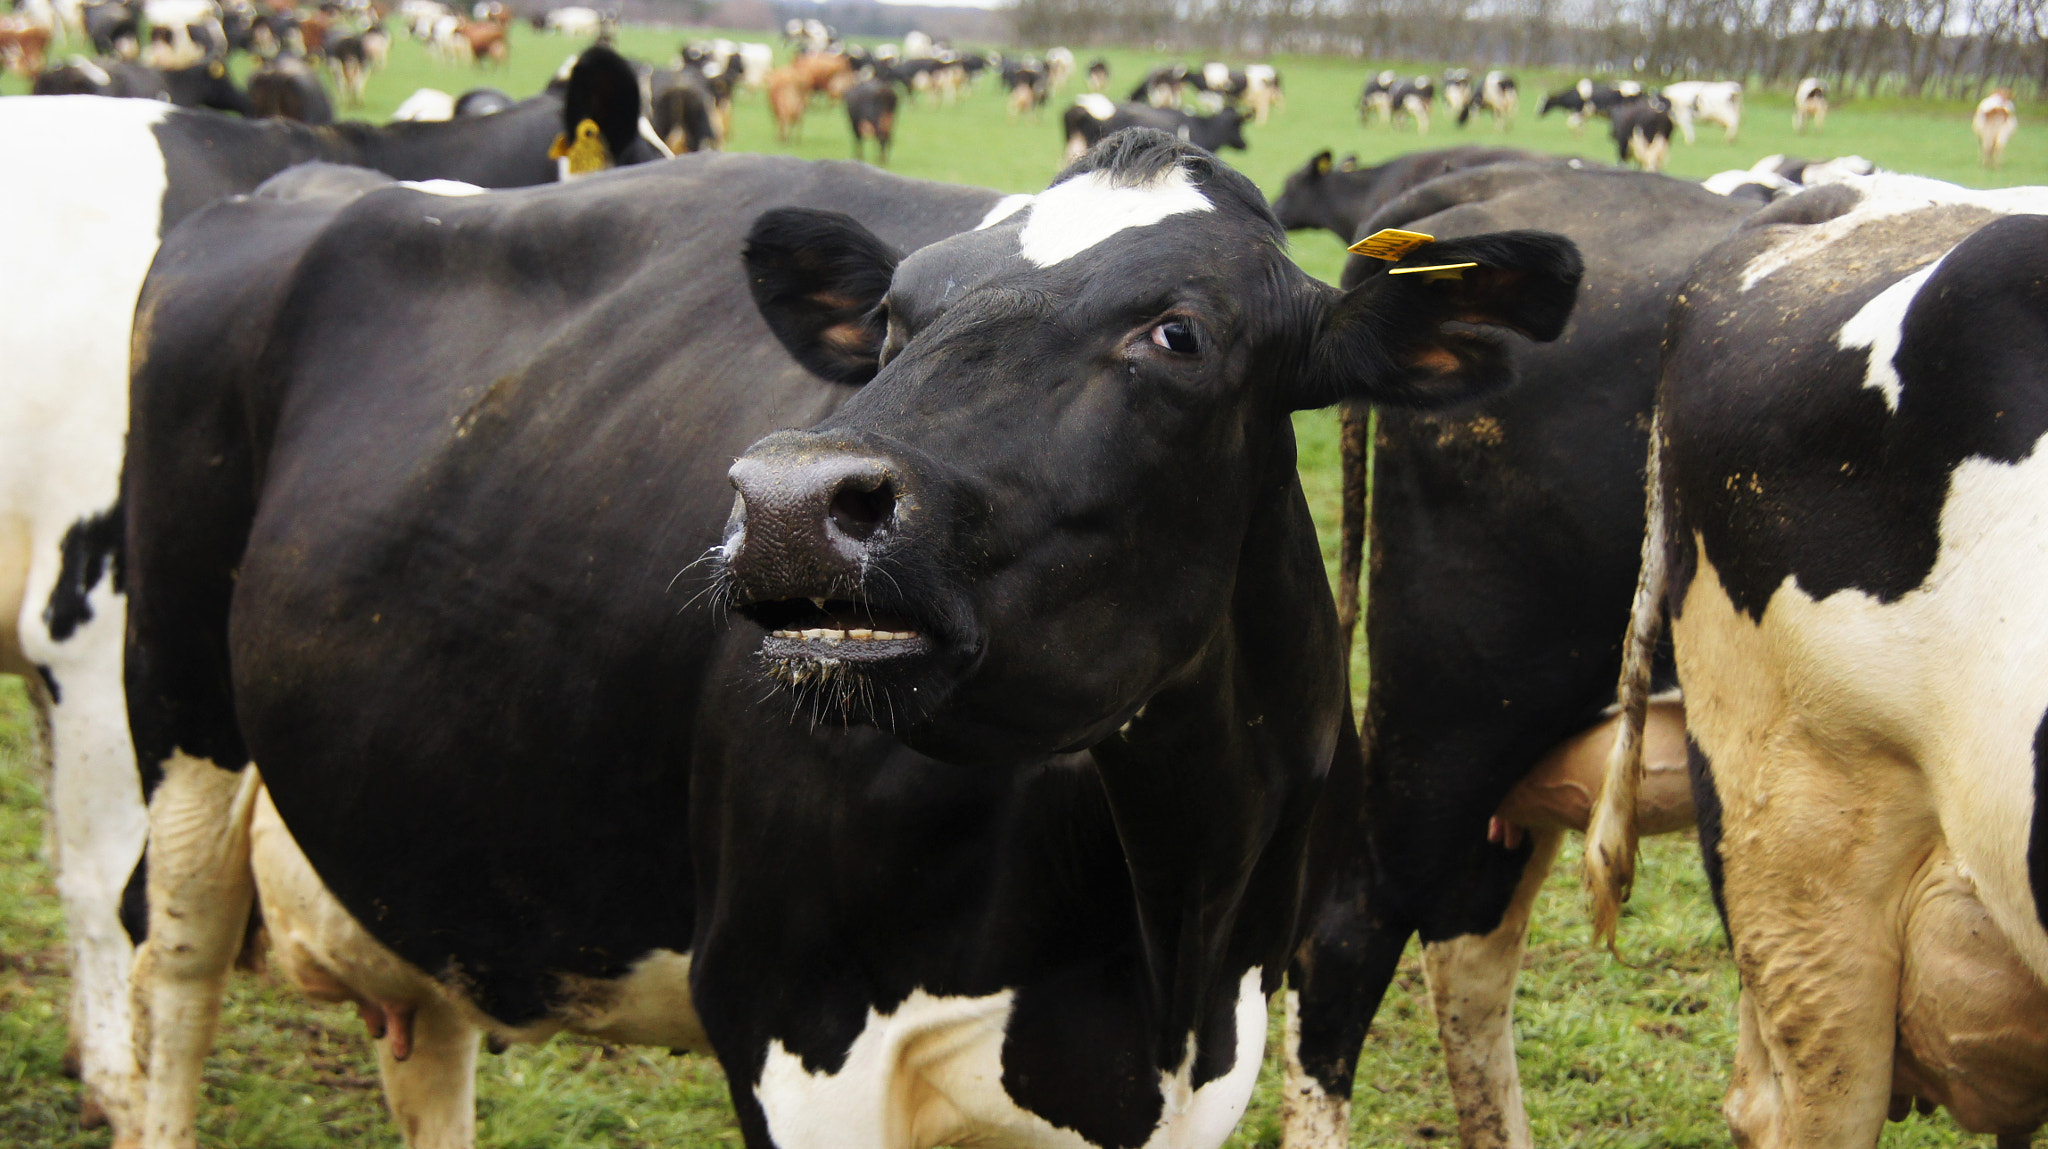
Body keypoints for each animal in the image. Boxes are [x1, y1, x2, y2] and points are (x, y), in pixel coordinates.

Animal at [119, 128, 1580, 1149]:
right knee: (170, 963)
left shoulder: (1220, 1042)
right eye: (891, 319)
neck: (1166, 907)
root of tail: (309, 181)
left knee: (424, 1039)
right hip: (175, 710)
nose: (783, 505)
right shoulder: (789, 1015)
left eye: (1178, 331)